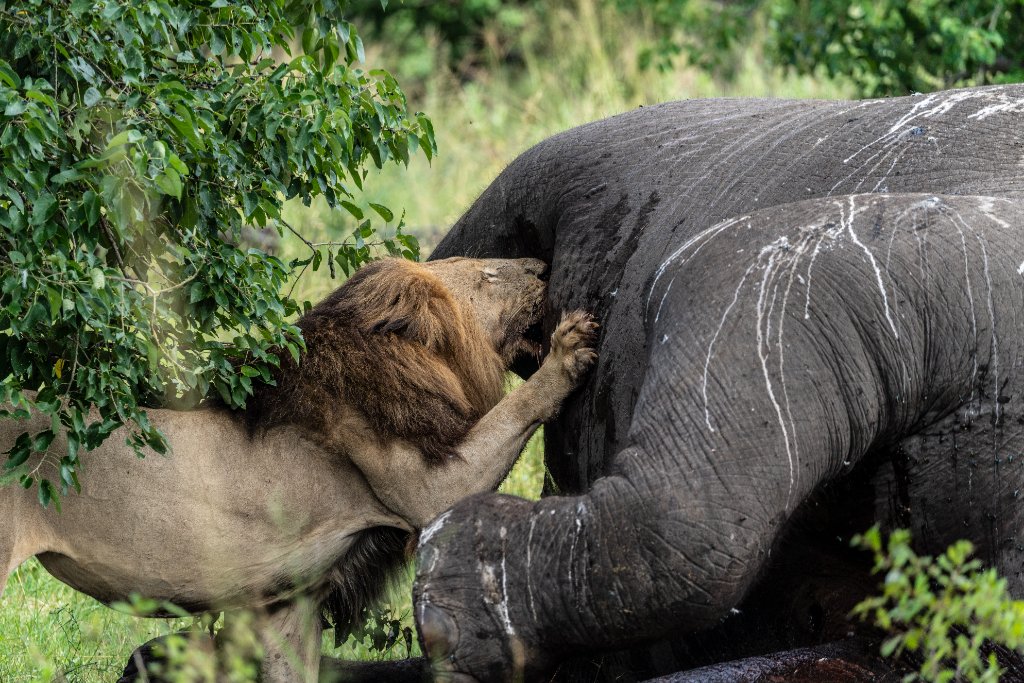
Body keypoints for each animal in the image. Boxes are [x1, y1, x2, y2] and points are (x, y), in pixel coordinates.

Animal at [0, 256, 598, 682]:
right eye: (487, 272)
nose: (542, 266)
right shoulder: (429, 485)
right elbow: (515, 409)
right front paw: (568, 351)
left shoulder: (286, 604)